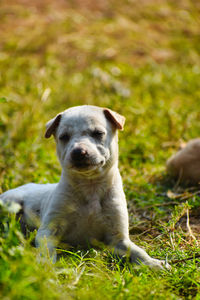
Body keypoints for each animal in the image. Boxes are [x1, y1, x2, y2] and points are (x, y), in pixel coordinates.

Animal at [0, 105, 168, 270]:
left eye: (98, 133)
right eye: (64, 137)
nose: (78, 152)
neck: (90, 186)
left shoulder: (118, 239)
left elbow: (137, 252)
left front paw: (153, 263)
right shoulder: (48, 230)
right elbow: (47, 249)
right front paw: (45, 265)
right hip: (11, 202)